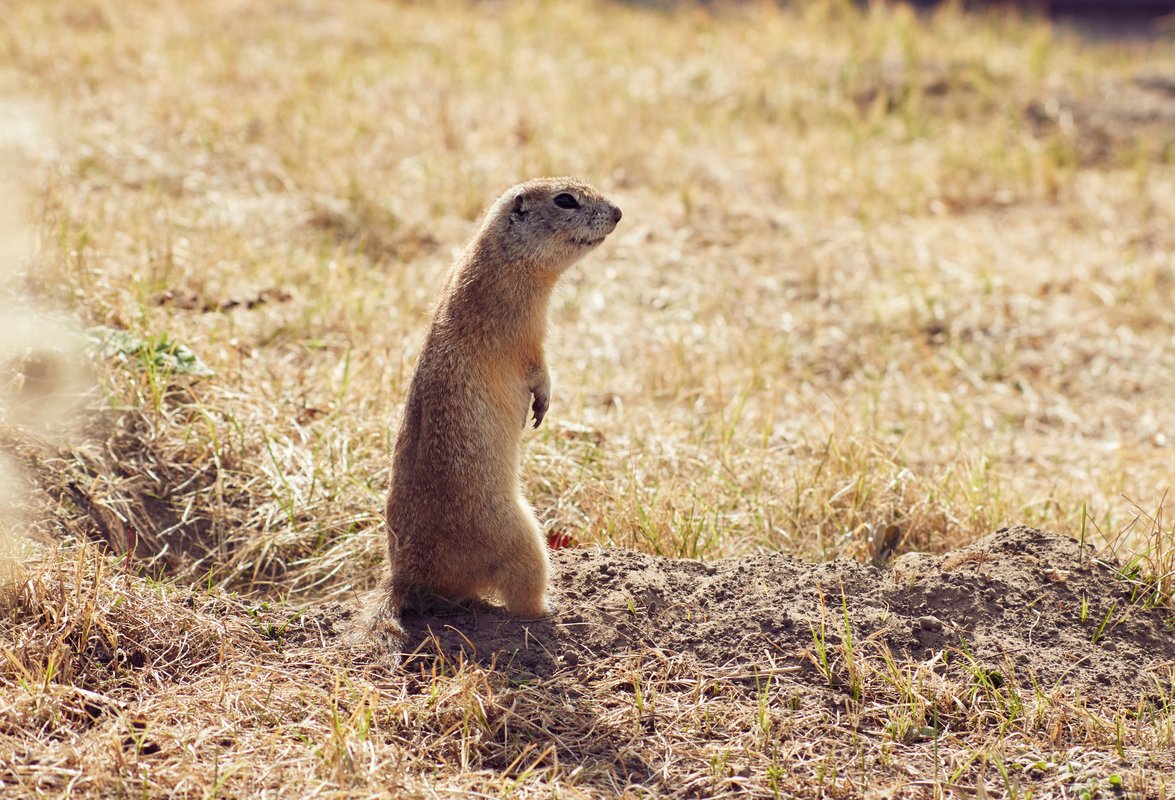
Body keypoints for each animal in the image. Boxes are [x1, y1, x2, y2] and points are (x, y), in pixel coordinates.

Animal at [371, 177, 620, 643]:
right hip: (523, 541)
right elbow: (537, 365)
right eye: (565, 200)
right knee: (523, 601)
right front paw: (541, 403)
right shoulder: (524, 329)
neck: (500, 257)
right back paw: (560, 612)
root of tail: (405, 579)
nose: (618, 212)